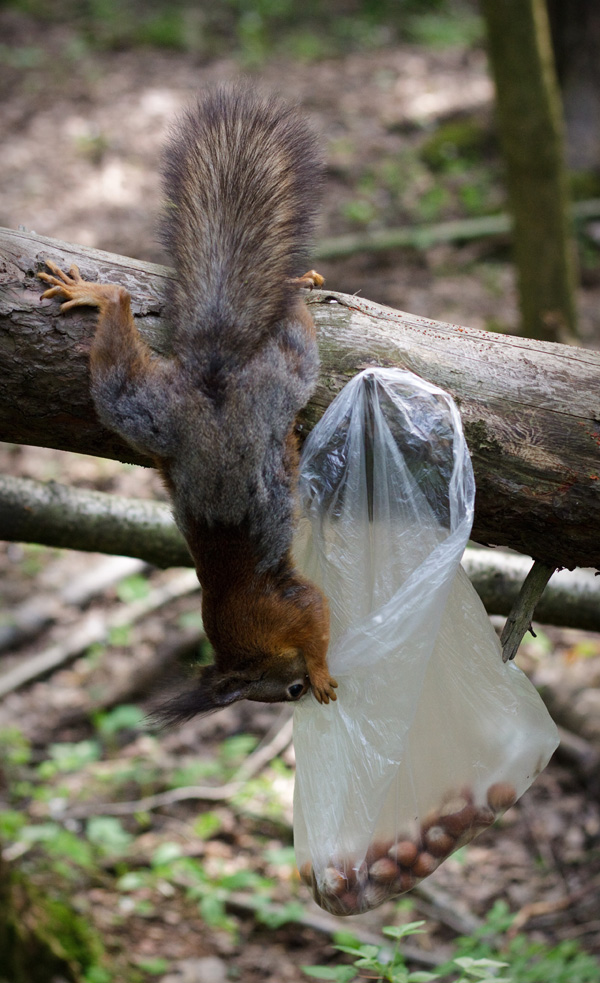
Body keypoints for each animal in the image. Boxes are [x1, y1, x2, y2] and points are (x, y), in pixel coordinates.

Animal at [38, 84, 338, 724]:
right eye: (286, 692)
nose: (300, 692)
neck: (243, 642)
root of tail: (213, 375)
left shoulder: (285, 608)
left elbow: (316, 616)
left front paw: (323, 672)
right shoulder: (287, 606)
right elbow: (317, 613)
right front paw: (322, 672)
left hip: (150, 405)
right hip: (231, 392)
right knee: (289, 337)